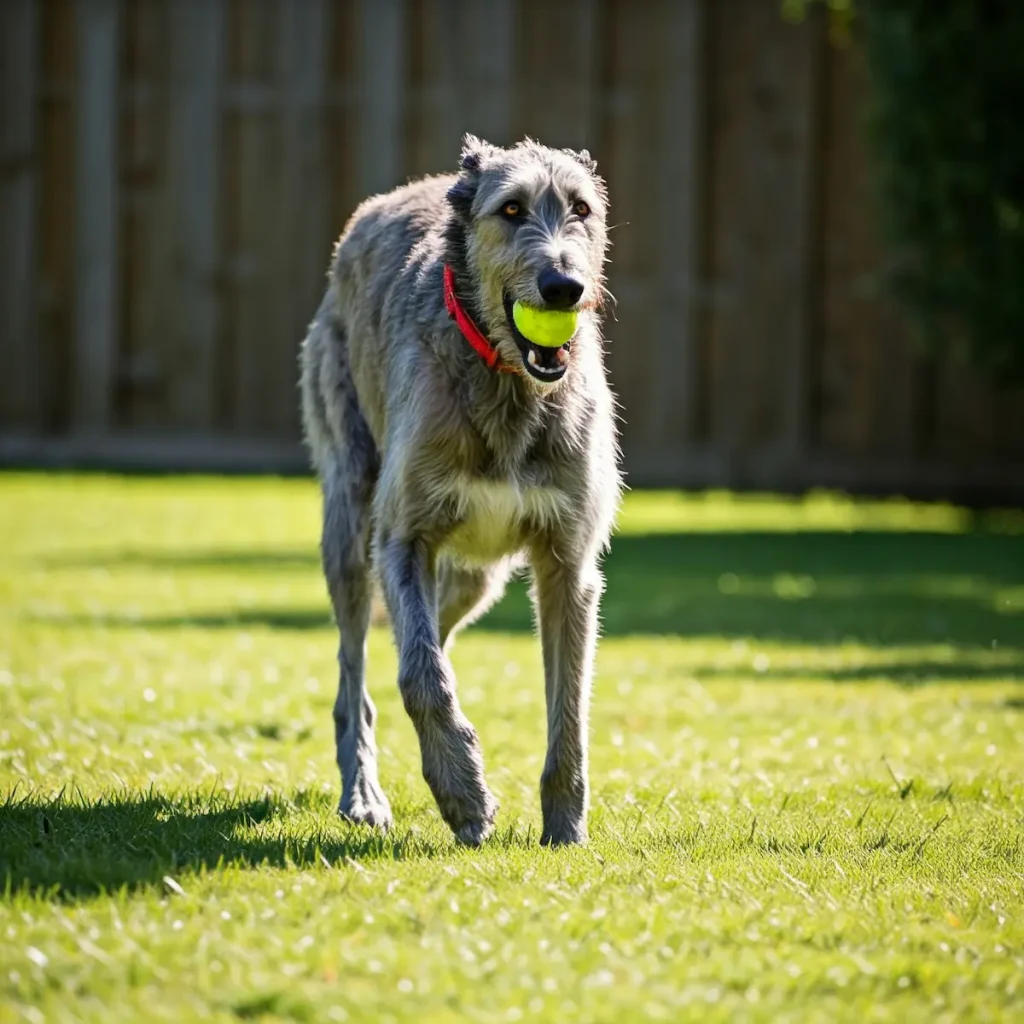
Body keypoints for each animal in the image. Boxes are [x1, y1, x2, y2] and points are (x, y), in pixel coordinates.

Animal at [292, 134, 618, 847]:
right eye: (512, 208)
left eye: (580, 208)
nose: (565, 287)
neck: (507, 382)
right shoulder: (402, 539)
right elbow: (421, 676)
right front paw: (464, 793)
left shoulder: (568, 564)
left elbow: (570, 705)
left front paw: (565, 828)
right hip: (350, 527)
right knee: (359, 670)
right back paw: (362, 793)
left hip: (475, 576)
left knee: (426, 635)